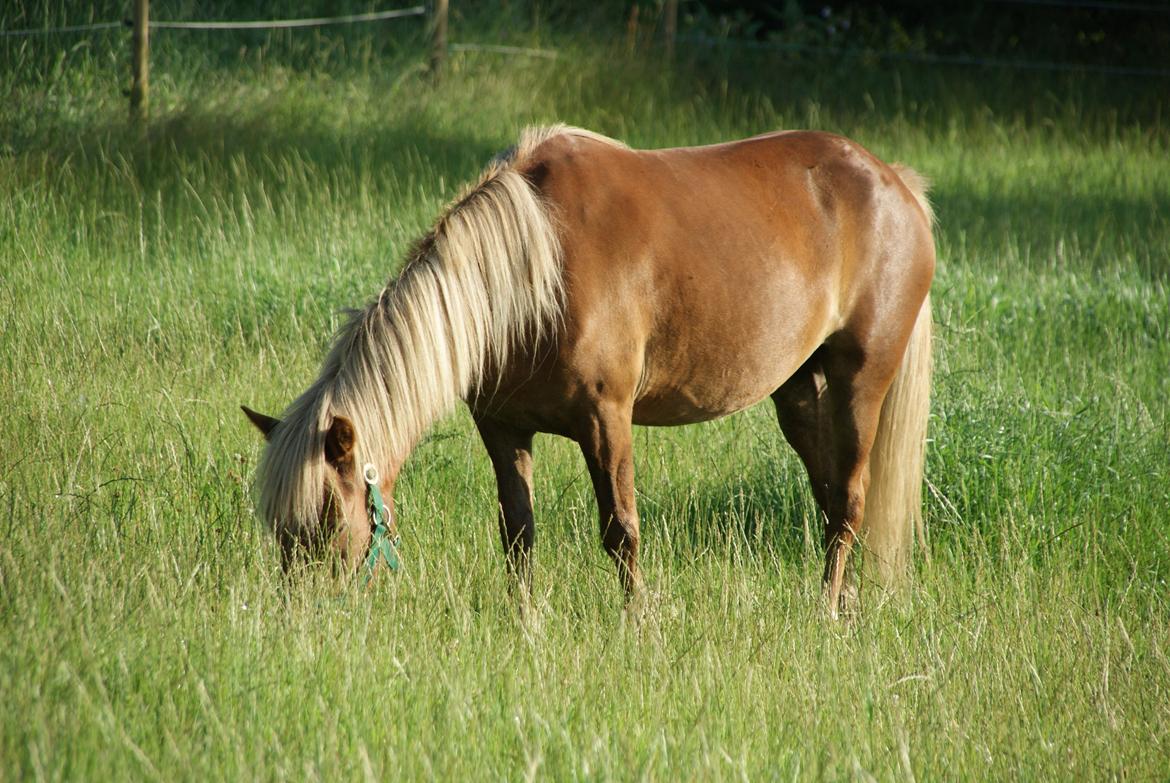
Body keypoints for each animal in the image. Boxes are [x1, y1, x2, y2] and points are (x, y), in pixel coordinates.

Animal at [242, 125, 935, 613]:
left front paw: (639, 625)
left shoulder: (606, 420)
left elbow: (621, 530)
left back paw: (825, 613)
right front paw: (526, 624)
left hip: (859, 382)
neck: (535, 273)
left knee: (849, 498)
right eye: (278, 531)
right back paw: (844, 603)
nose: (301, 619)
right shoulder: (503, 430)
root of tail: (895, 182)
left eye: (327, 521)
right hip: (796, 390)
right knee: (829, 494)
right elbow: (517, 535)